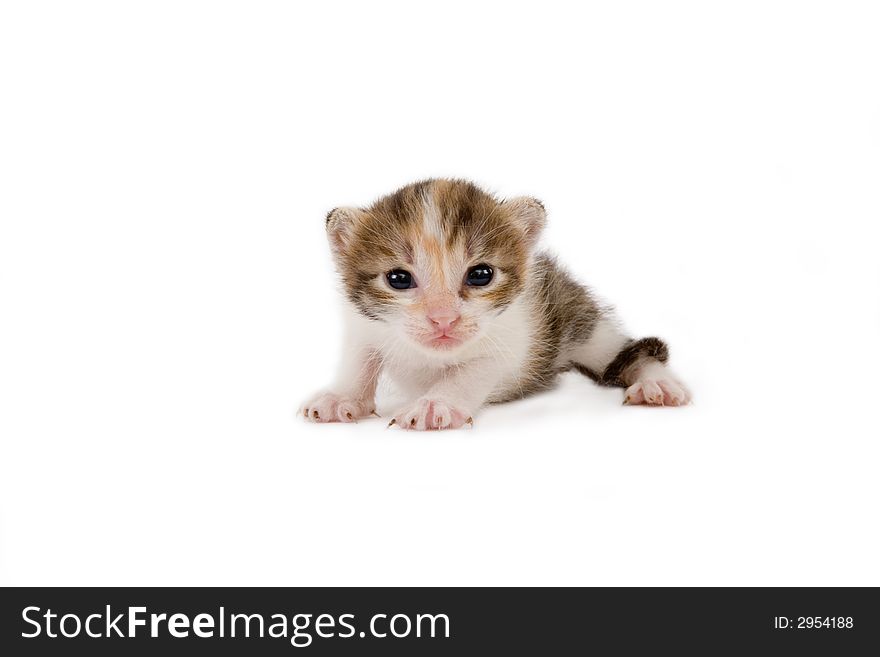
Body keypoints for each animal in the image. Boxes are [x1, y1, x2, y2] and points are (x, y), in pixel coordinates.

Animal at [300, 178, 688, 430]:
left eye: (481, 275)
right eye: (398, 279)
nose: (443, 319)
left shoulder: (512, 336)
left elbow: (473, 370)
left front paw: (436, 403)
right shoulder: (363, 324)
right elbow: (359, 360)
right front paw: (341, 398)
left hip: (581, 320)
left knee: (626, 350)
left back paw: (655, 384)